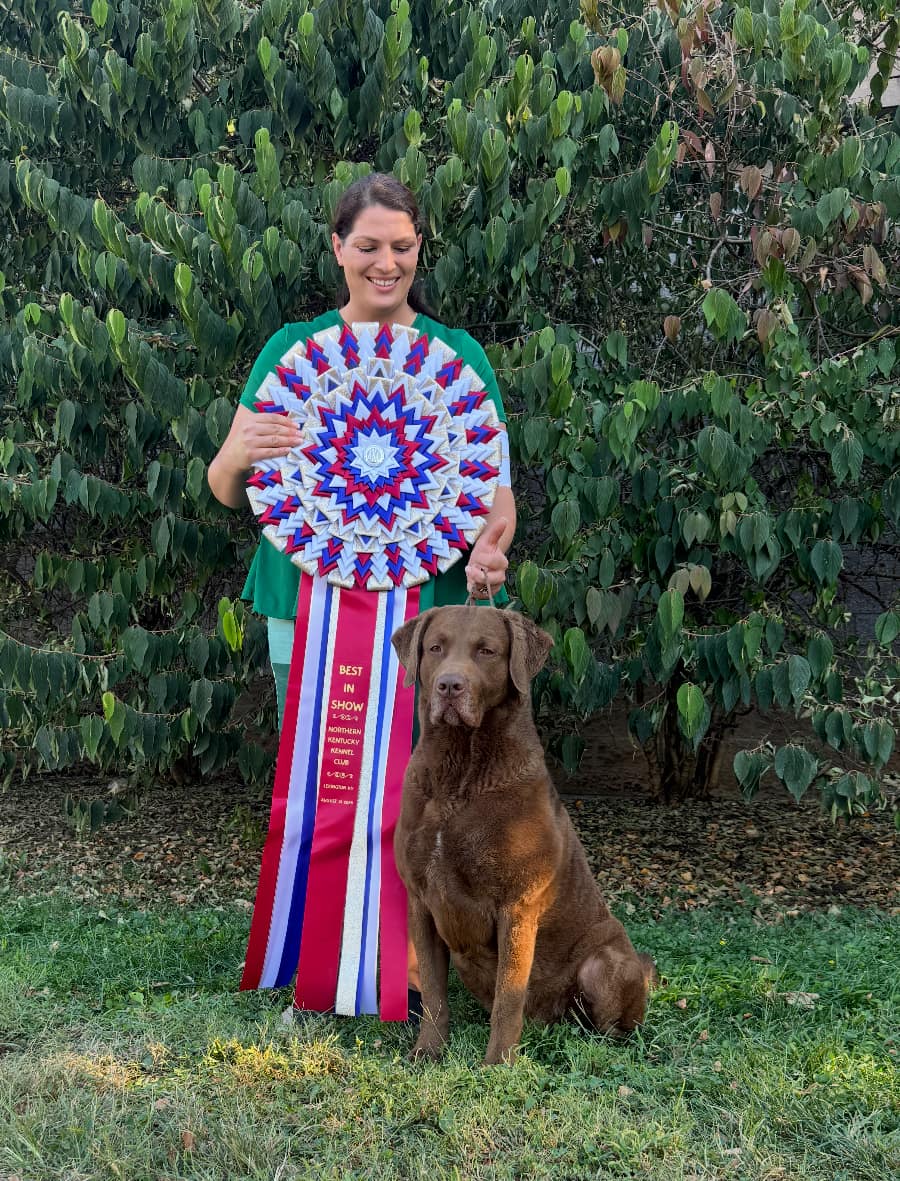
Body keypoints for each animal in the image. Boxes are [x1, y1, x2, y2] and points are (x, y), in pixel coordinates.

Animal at [392, 604, 656, 1066]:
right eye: (435, 648)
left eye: (486, 651)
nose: (449, 685)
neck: (460, 774)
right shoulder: (421, 902)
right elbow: (434, 994)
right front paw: (428, 1052)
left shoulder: (517, 905)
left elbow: (508, 999)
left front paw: (497, 1065)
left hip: (604, 963)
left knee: (611, 1026)